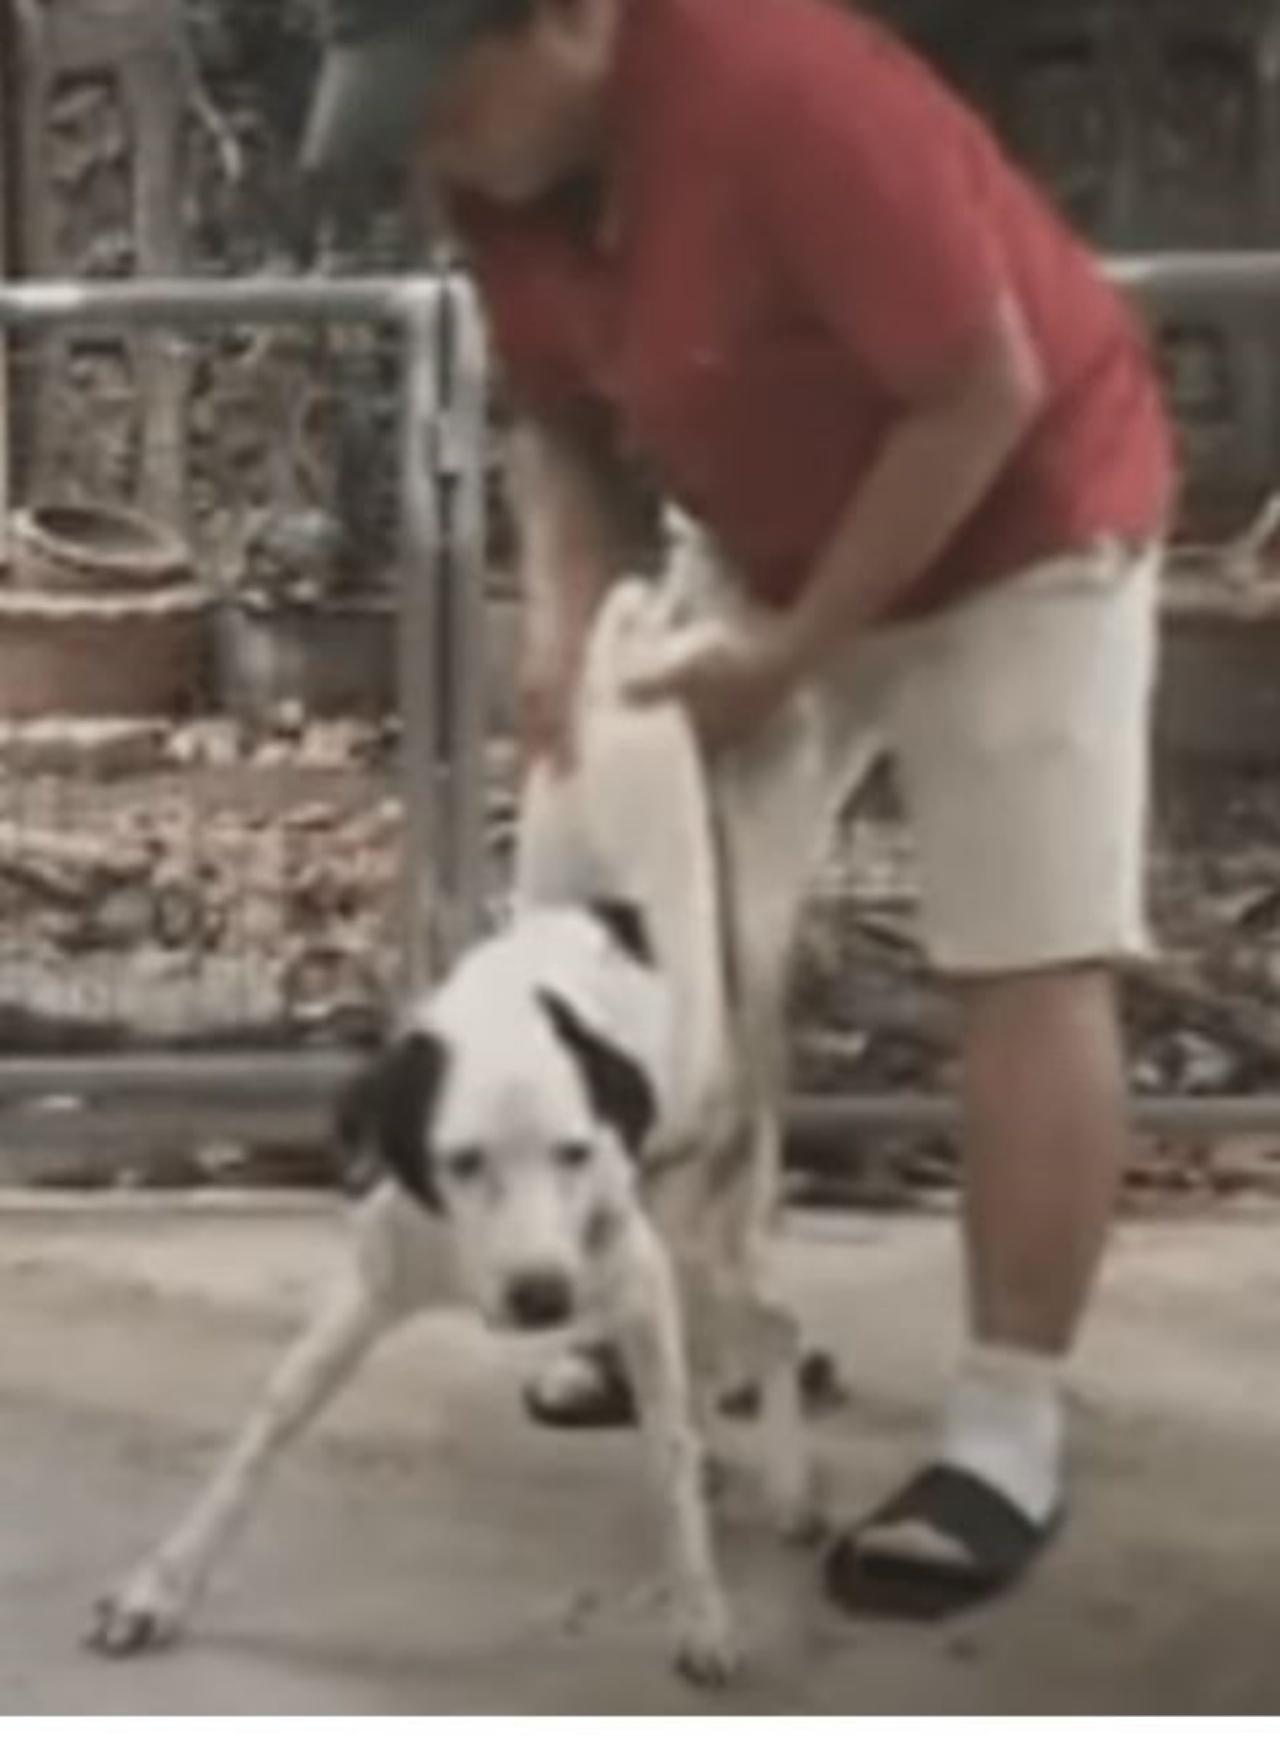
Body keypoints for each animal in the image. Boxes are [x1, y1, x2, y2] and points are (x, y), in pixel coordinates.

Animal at [87, 582, 823, 1687]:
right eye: (461, 1163)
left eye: (573, 1153)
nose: (543, 1297)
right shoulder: (378, 1278)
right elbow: (266, 1427)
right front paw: (160, 1586)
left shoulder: (631, 1271)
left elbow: (667, 1460)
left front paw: (701, 1612)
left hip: (695, 1217)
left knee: (773, 1332)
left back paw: (783, 1484)